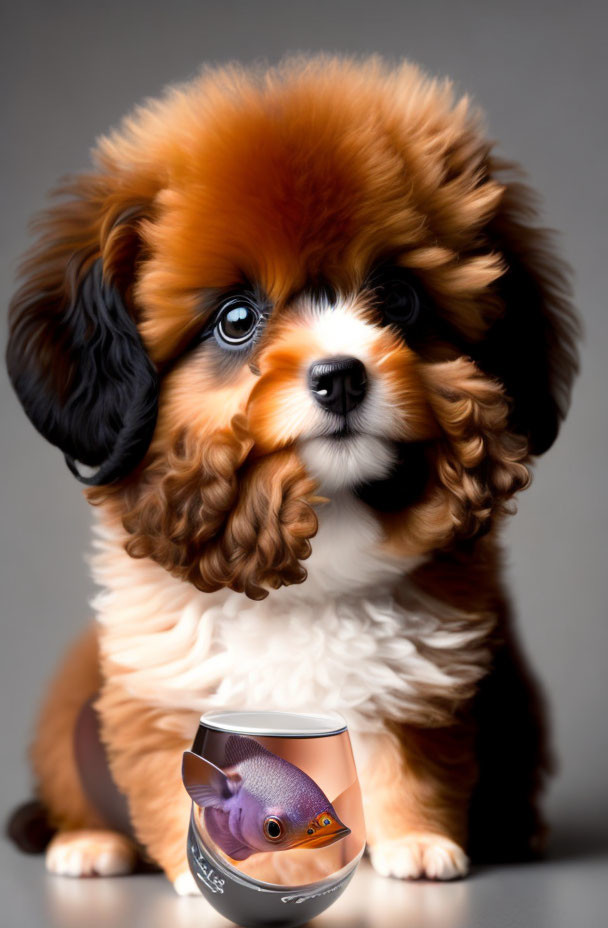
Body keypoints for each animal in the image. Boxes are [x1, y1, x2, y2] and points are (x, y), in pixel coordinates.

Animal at [5, 56, 580, 892]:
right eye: (237, 320)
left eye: (398, 298)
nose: (341, 376)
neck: (313, 532)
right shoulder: (156, 681)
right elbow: (165, 767)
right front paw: (198, 869)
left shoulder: (427, 679)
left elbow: (410, 762)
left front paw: (416, 840)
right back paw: (88, 842)